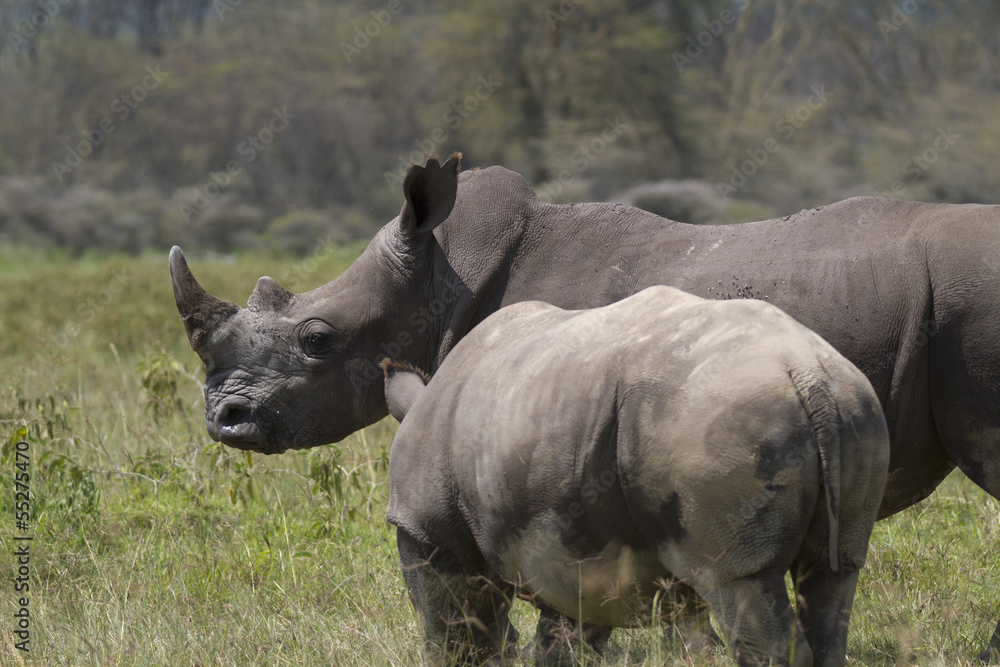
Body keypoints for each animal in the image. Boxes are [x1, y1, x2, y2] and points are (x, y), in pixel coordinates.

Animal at [380, 286, 890, 667]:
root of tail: (806, 372)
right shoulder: (576, 544)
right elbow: (564, 636)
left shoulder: (428, 529)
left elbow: (452, 624)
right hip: (854, 409)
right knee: (832, 576)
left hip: (718, 420)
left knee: (739, 580)